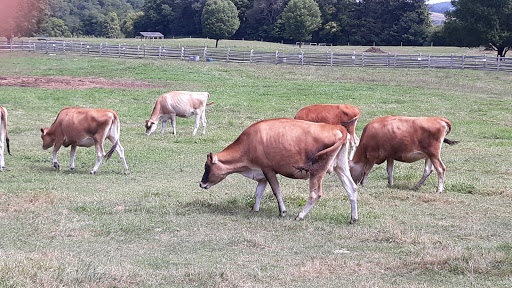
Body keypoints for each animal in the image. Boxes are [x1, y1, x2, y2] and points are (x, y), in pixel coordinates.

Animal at [198, 118, 358, 224]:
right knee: (352, 188)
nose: (201, 184)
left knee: (315, 194)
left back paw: (300, 215)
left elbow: (276, 190)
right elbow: (259, 191)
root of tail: (338, 128)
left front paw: (282, 211)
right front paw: (255, 209)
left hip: (317, 171)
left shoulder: (268, 169)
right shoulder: (261, 173)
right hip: (340, 166)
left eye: (207, 167)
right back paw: (353, 218)